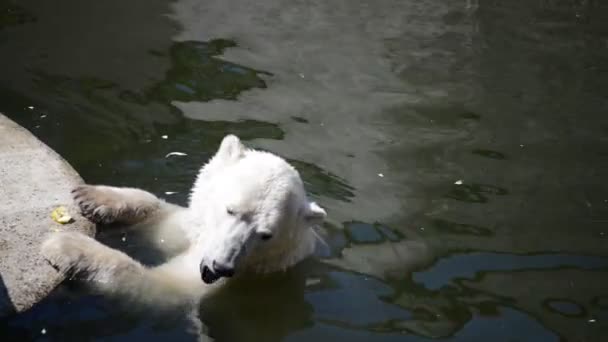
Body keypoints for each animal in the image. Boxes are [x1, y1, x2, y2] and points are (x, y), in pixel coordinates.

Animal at [41, 135, 328, 306]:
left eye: (266, 234)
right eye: (230, 210)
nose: (220, 267)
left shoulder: (237, 275)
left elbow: (167, 285)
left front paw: (67, 246)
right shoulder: (195, 230)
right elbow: (167, 224)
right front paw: (92, 197)